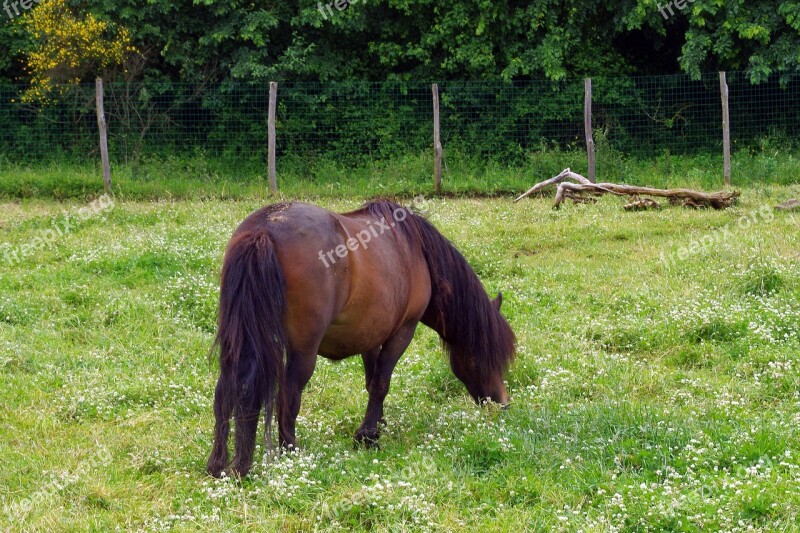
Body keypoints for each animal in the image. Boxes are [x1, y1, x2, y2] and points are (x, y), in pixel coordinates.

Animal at [206, 200, 516, 478]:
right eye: (489, 355)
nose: (504, 403)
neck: (417, 251)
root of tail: (265, 227)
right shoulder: (402, 331)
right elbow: (381, 384)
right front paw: (367, 436)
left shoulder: (371, 335)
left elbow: (372, 382)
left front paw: (377, 424)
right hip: (302, 350)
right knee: (289, 394)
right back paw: (291, 452)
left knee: (225, 391)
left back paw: (218, 465)